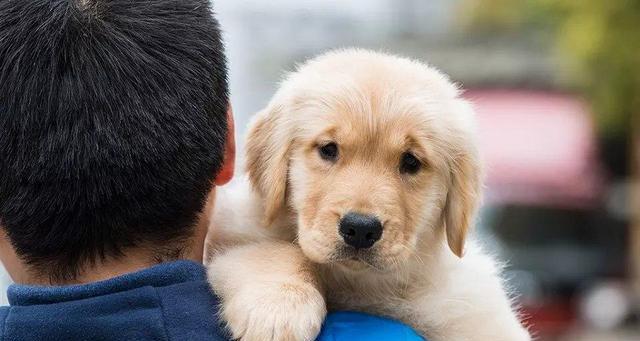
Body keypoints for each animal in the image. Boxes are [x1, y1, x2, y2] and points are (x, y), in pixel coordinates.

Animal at [206, 48, 528, 340]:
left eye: (411, 162)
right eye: (329, 149)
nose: (360, 229)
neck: (356, 284)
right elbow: (274, 250)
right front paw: (277, 307)